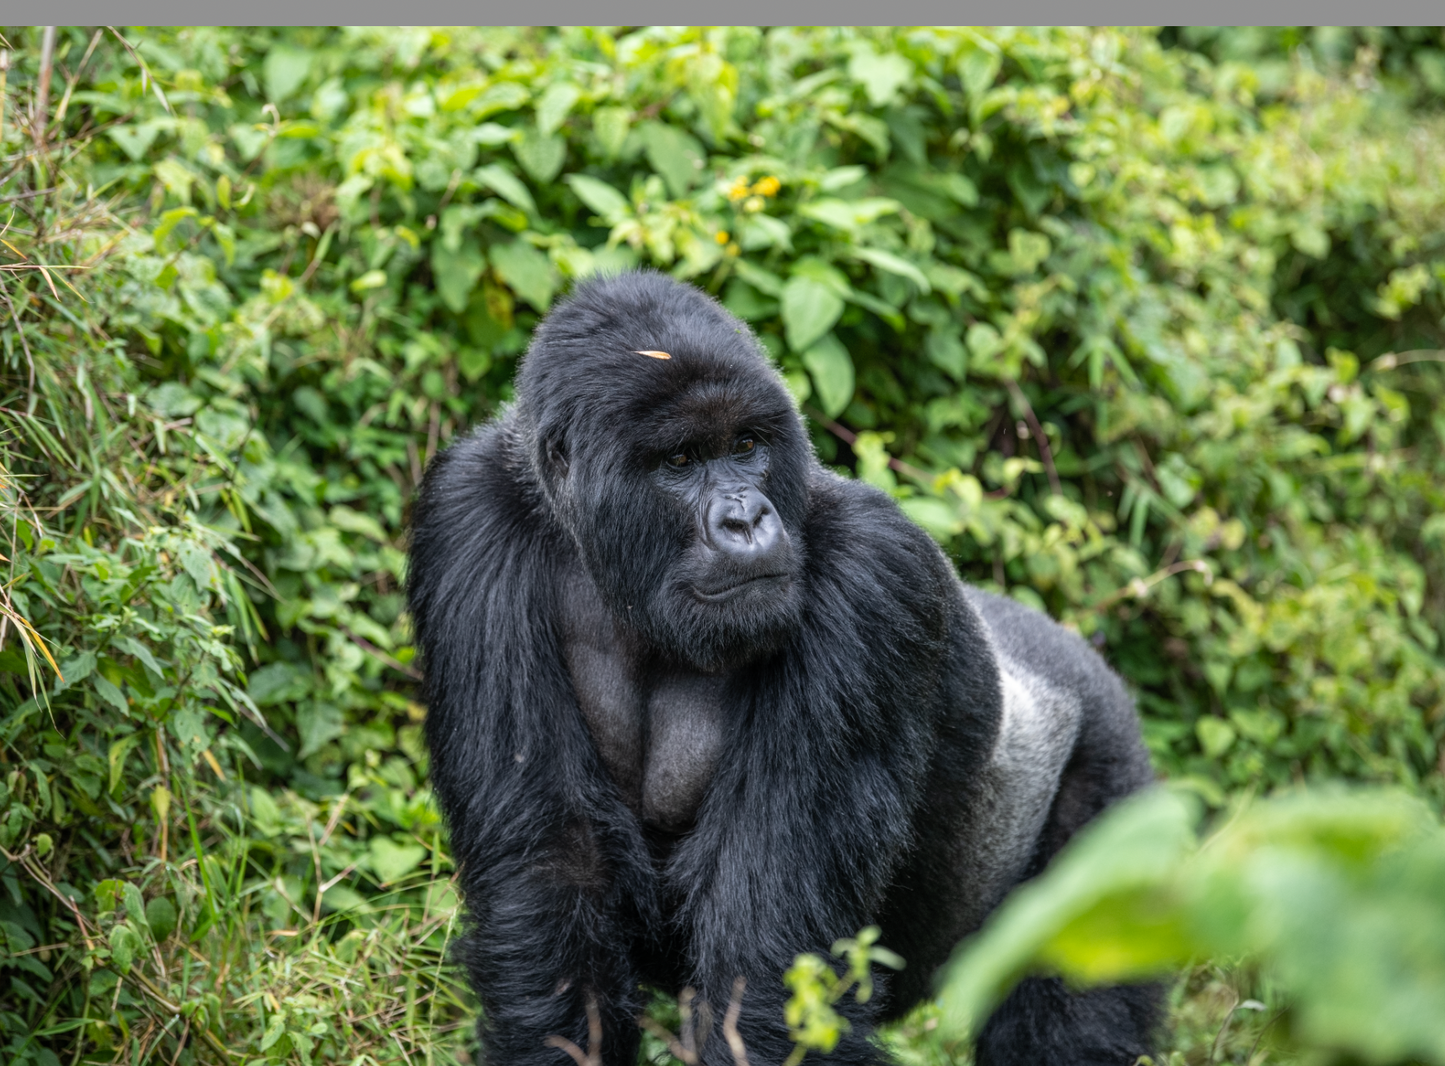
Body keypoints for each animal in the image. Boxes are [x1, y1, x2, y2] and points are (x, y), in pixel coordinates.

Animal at [410, 271, 1161, 1063]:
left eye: (746, 445)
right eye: (679, 461)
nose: (745, 520)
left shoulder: (872, 571)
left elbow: (767, 954)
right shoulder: (469, 516)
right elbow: (553, 876)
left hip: (1114, 782)